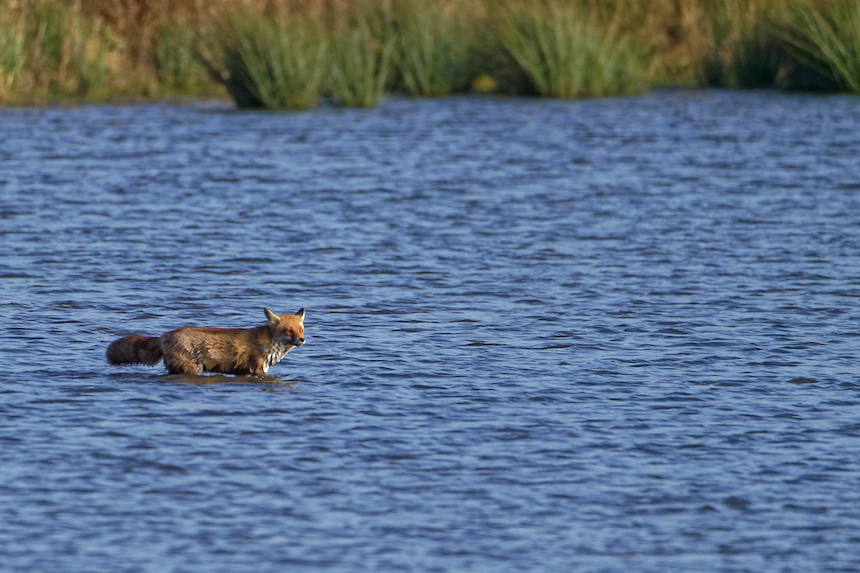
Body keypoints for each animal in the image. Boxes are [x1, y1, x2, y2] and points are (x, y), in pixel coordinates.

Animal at [107, 308, 304, 376]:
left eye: (300, 330)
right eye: (289, 331)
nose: (302, 340)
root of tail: (165, 334)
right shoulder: (256, 369)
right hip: (193, 369)